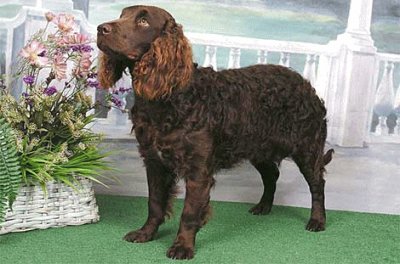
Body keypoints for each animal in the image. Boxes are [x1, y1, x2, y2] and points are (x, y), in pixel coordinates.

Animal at [97, 5, 334, 260]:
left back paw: (317, 220)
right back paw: (263, 206)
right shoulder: (154, 161)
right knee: (272, 175)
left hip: (307, 149)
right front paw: (146, 233)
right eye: (122, 16)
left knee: (317, 184)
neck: (169, 100)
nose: (101, 28)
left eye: (143, 21)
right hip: (258, 148)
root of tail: (306, 84)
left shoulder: (198, 169)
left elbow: (189, 212)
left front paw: (183, 246)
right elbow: (155, 203)